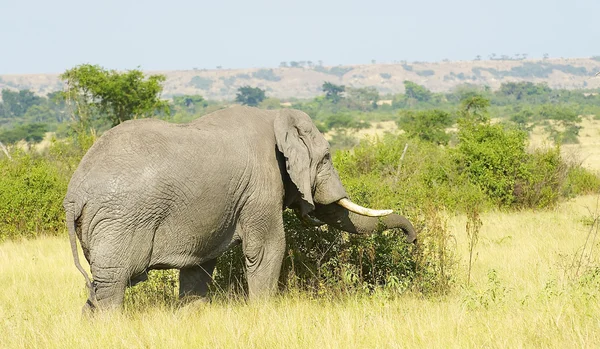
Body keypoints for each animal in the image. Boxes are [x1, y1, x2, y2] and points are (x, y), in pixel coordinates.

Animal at [63, 105, 414, 310]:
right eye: (326, 157)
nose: (412, 238)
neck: (275, 116)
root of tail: (74, 192)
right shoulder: (260, 187)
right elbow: (268, 249)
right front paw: (263, 315)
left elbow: (199, 264)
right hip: (120, 218)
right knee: (112, 283)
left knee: (98, 287)